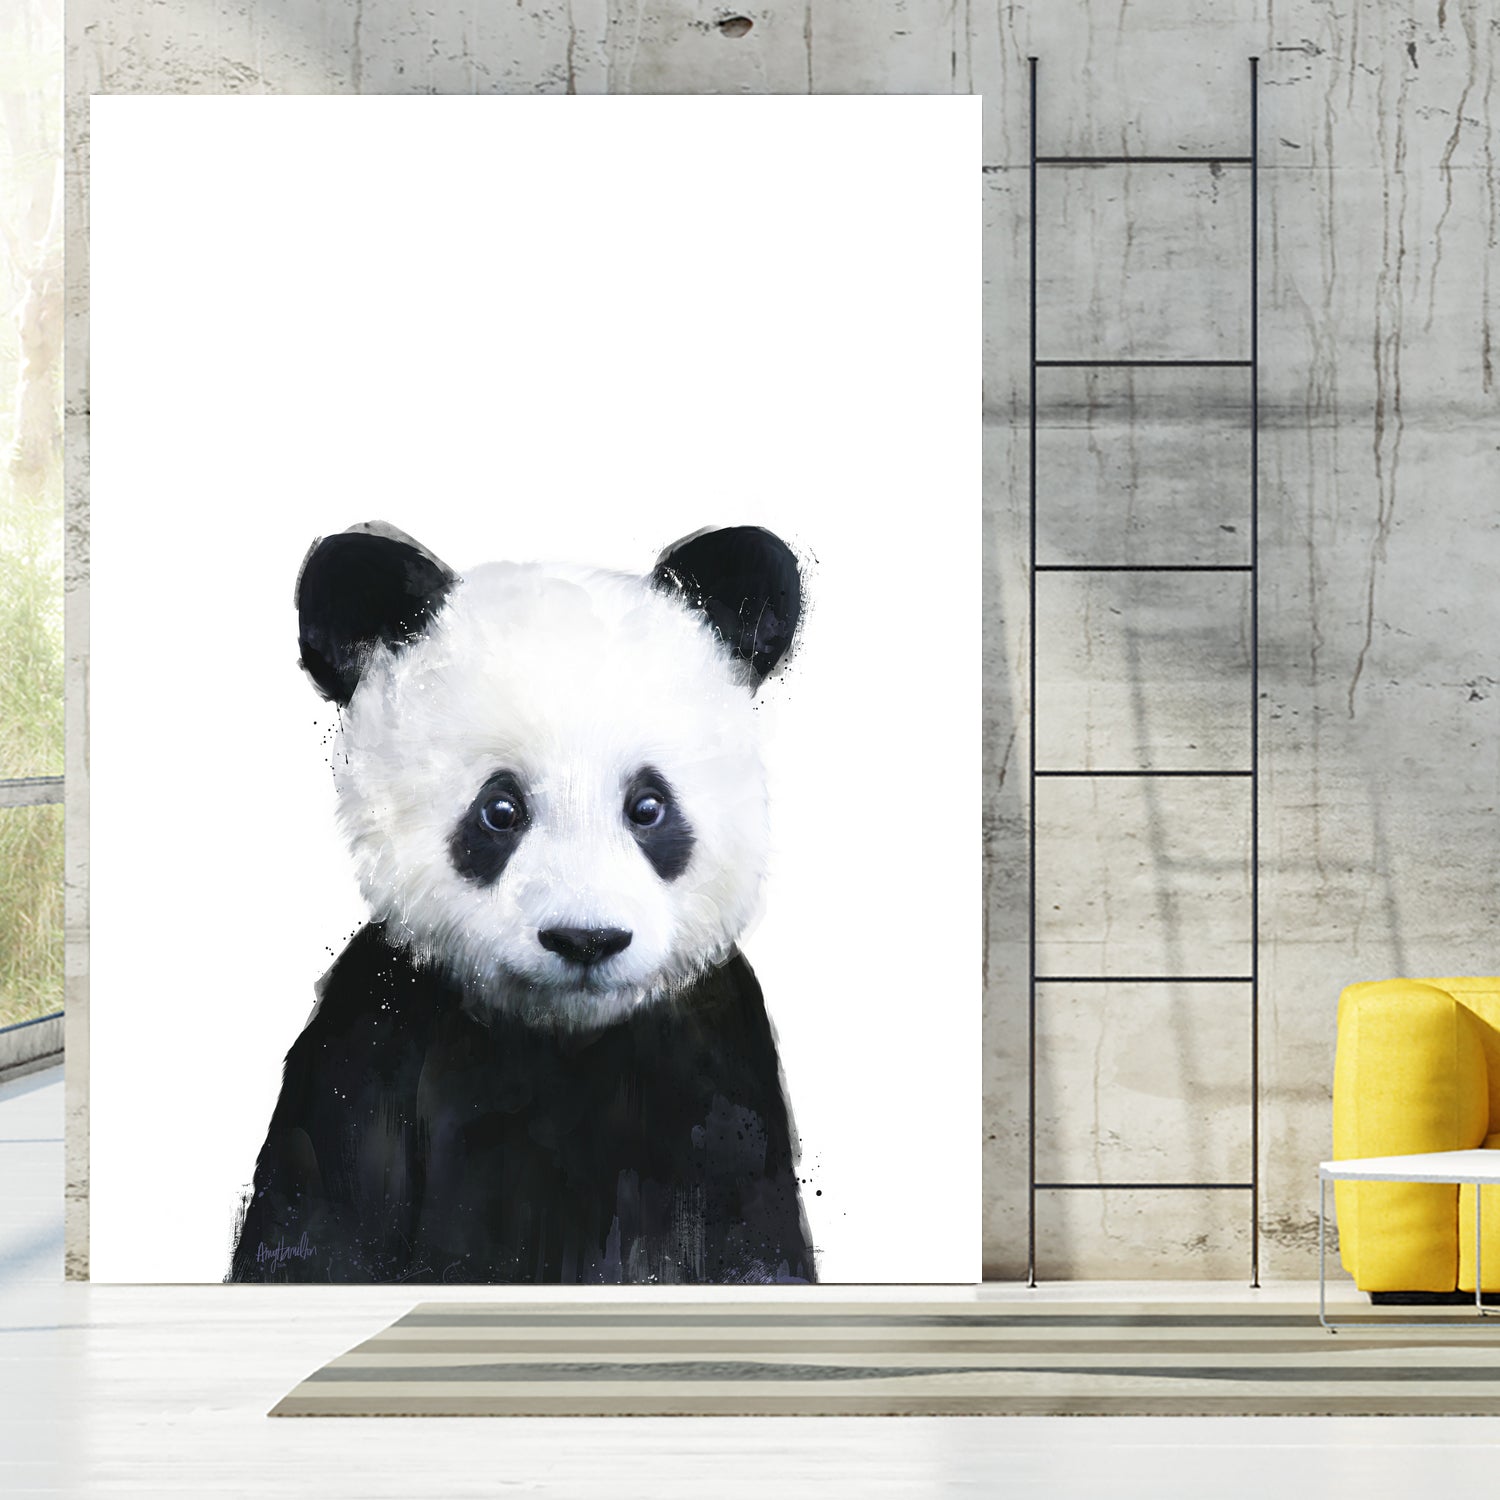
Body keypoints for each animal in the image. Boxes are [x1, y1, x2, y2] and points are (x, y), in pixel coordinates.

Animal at [228, 521, 816, 1284]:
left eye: (648, 806)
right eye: (500, 810)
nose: (586, 939)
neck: (562, 1037)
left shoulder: (716, 1069)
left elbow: (750, 1243)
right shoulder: (372, 1045)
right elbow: (318, 1228)